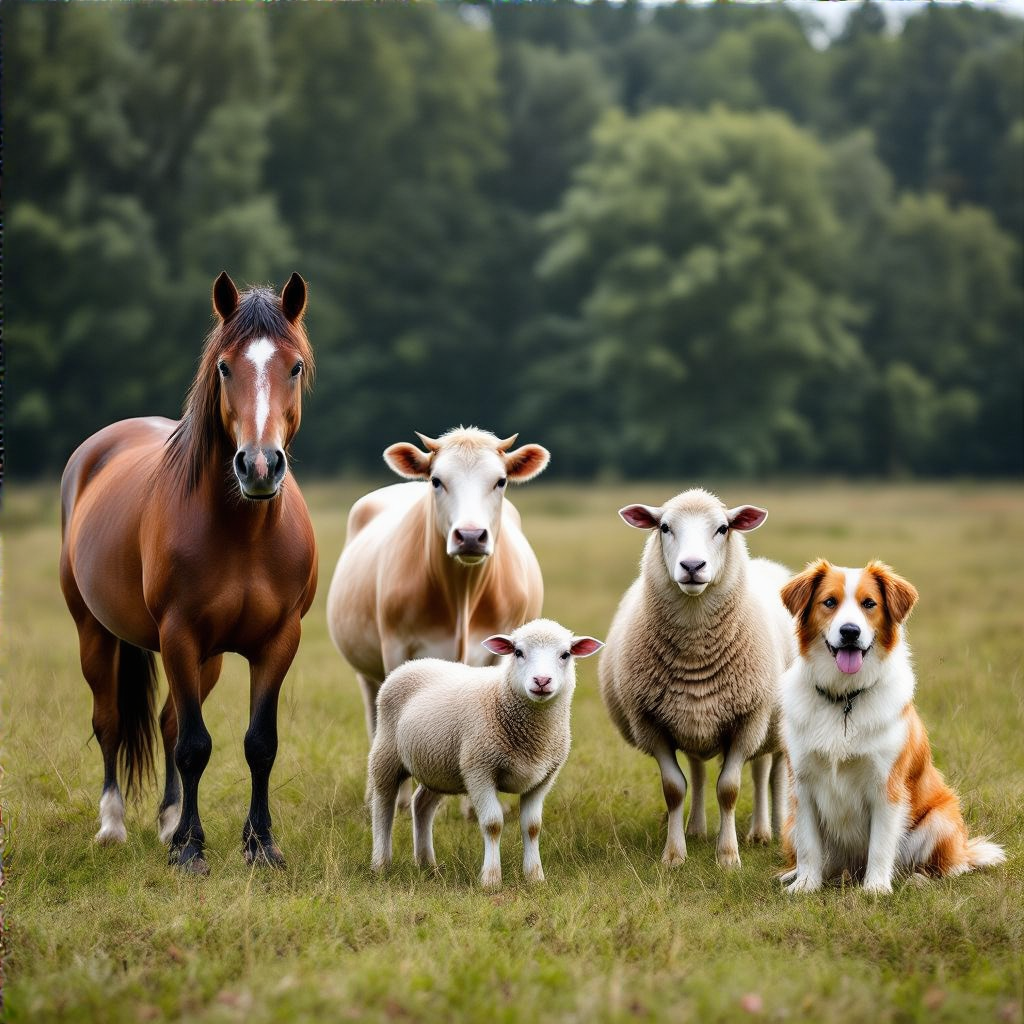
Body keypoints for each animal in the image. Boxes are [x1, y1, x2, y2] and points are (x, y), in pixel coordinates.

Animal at [59, 272, 318, 874]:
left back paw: (169, 821)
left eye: (294, 366)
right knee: (111, 721)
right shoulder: (179, 634)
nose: (259, 465)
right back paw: (114, 826)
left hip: (210, 658)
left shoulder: (279, 641)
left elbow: (258, 743)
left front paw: (260, 845)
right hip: (95, 632)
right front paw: (191, 851)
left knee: (168, 721)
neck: (246, 533)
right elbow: (195, 746)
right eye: (224, 366)